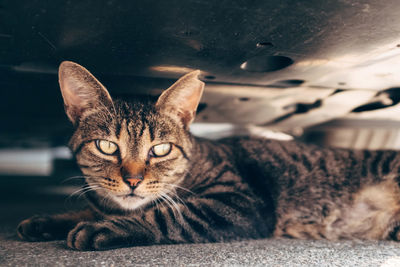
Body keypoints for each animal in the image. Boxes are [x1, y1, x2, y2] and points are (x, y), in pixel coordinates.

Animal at [16, 61, 400, 251]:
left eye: (160, 149)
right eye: (107, 146)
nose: (133, 180)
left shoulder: (241, 201)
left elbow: (168, 216)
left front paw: (103, 227)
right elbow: (90, 207)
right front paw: (48, 221)